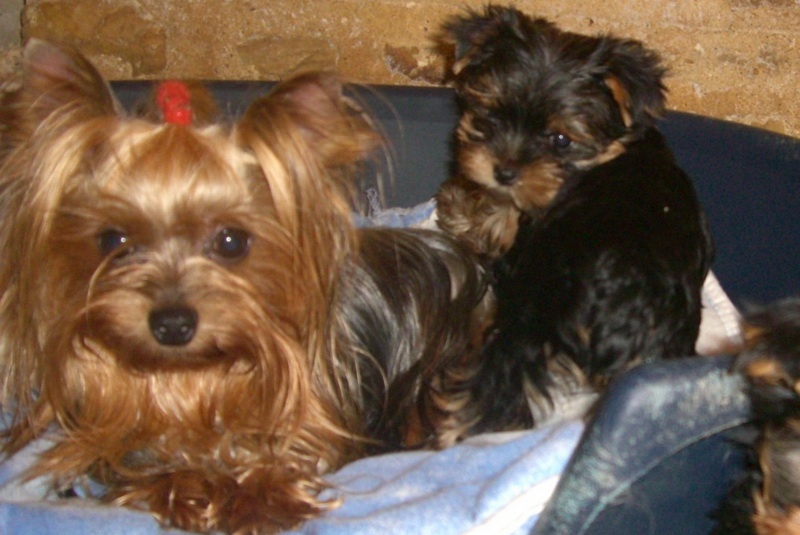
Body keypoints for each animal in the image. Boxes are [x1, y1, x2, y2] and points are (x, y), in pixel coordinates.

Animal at [0, 39, 488, 533]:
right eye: (112, 240)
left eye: (231, 241)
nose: (172, 324)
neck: (195, 376)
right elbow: (152, 468)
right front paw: (191, 490)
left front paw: (261, 500)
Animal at [418, 6, 714, 446]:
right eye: (492, 115)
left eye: (560, 139)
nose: (504, 171)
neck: (611, 151)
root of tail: (626, 301)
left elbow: (504, 219)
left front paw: (461, 206)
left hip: (531, 313)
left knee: (495, 384)